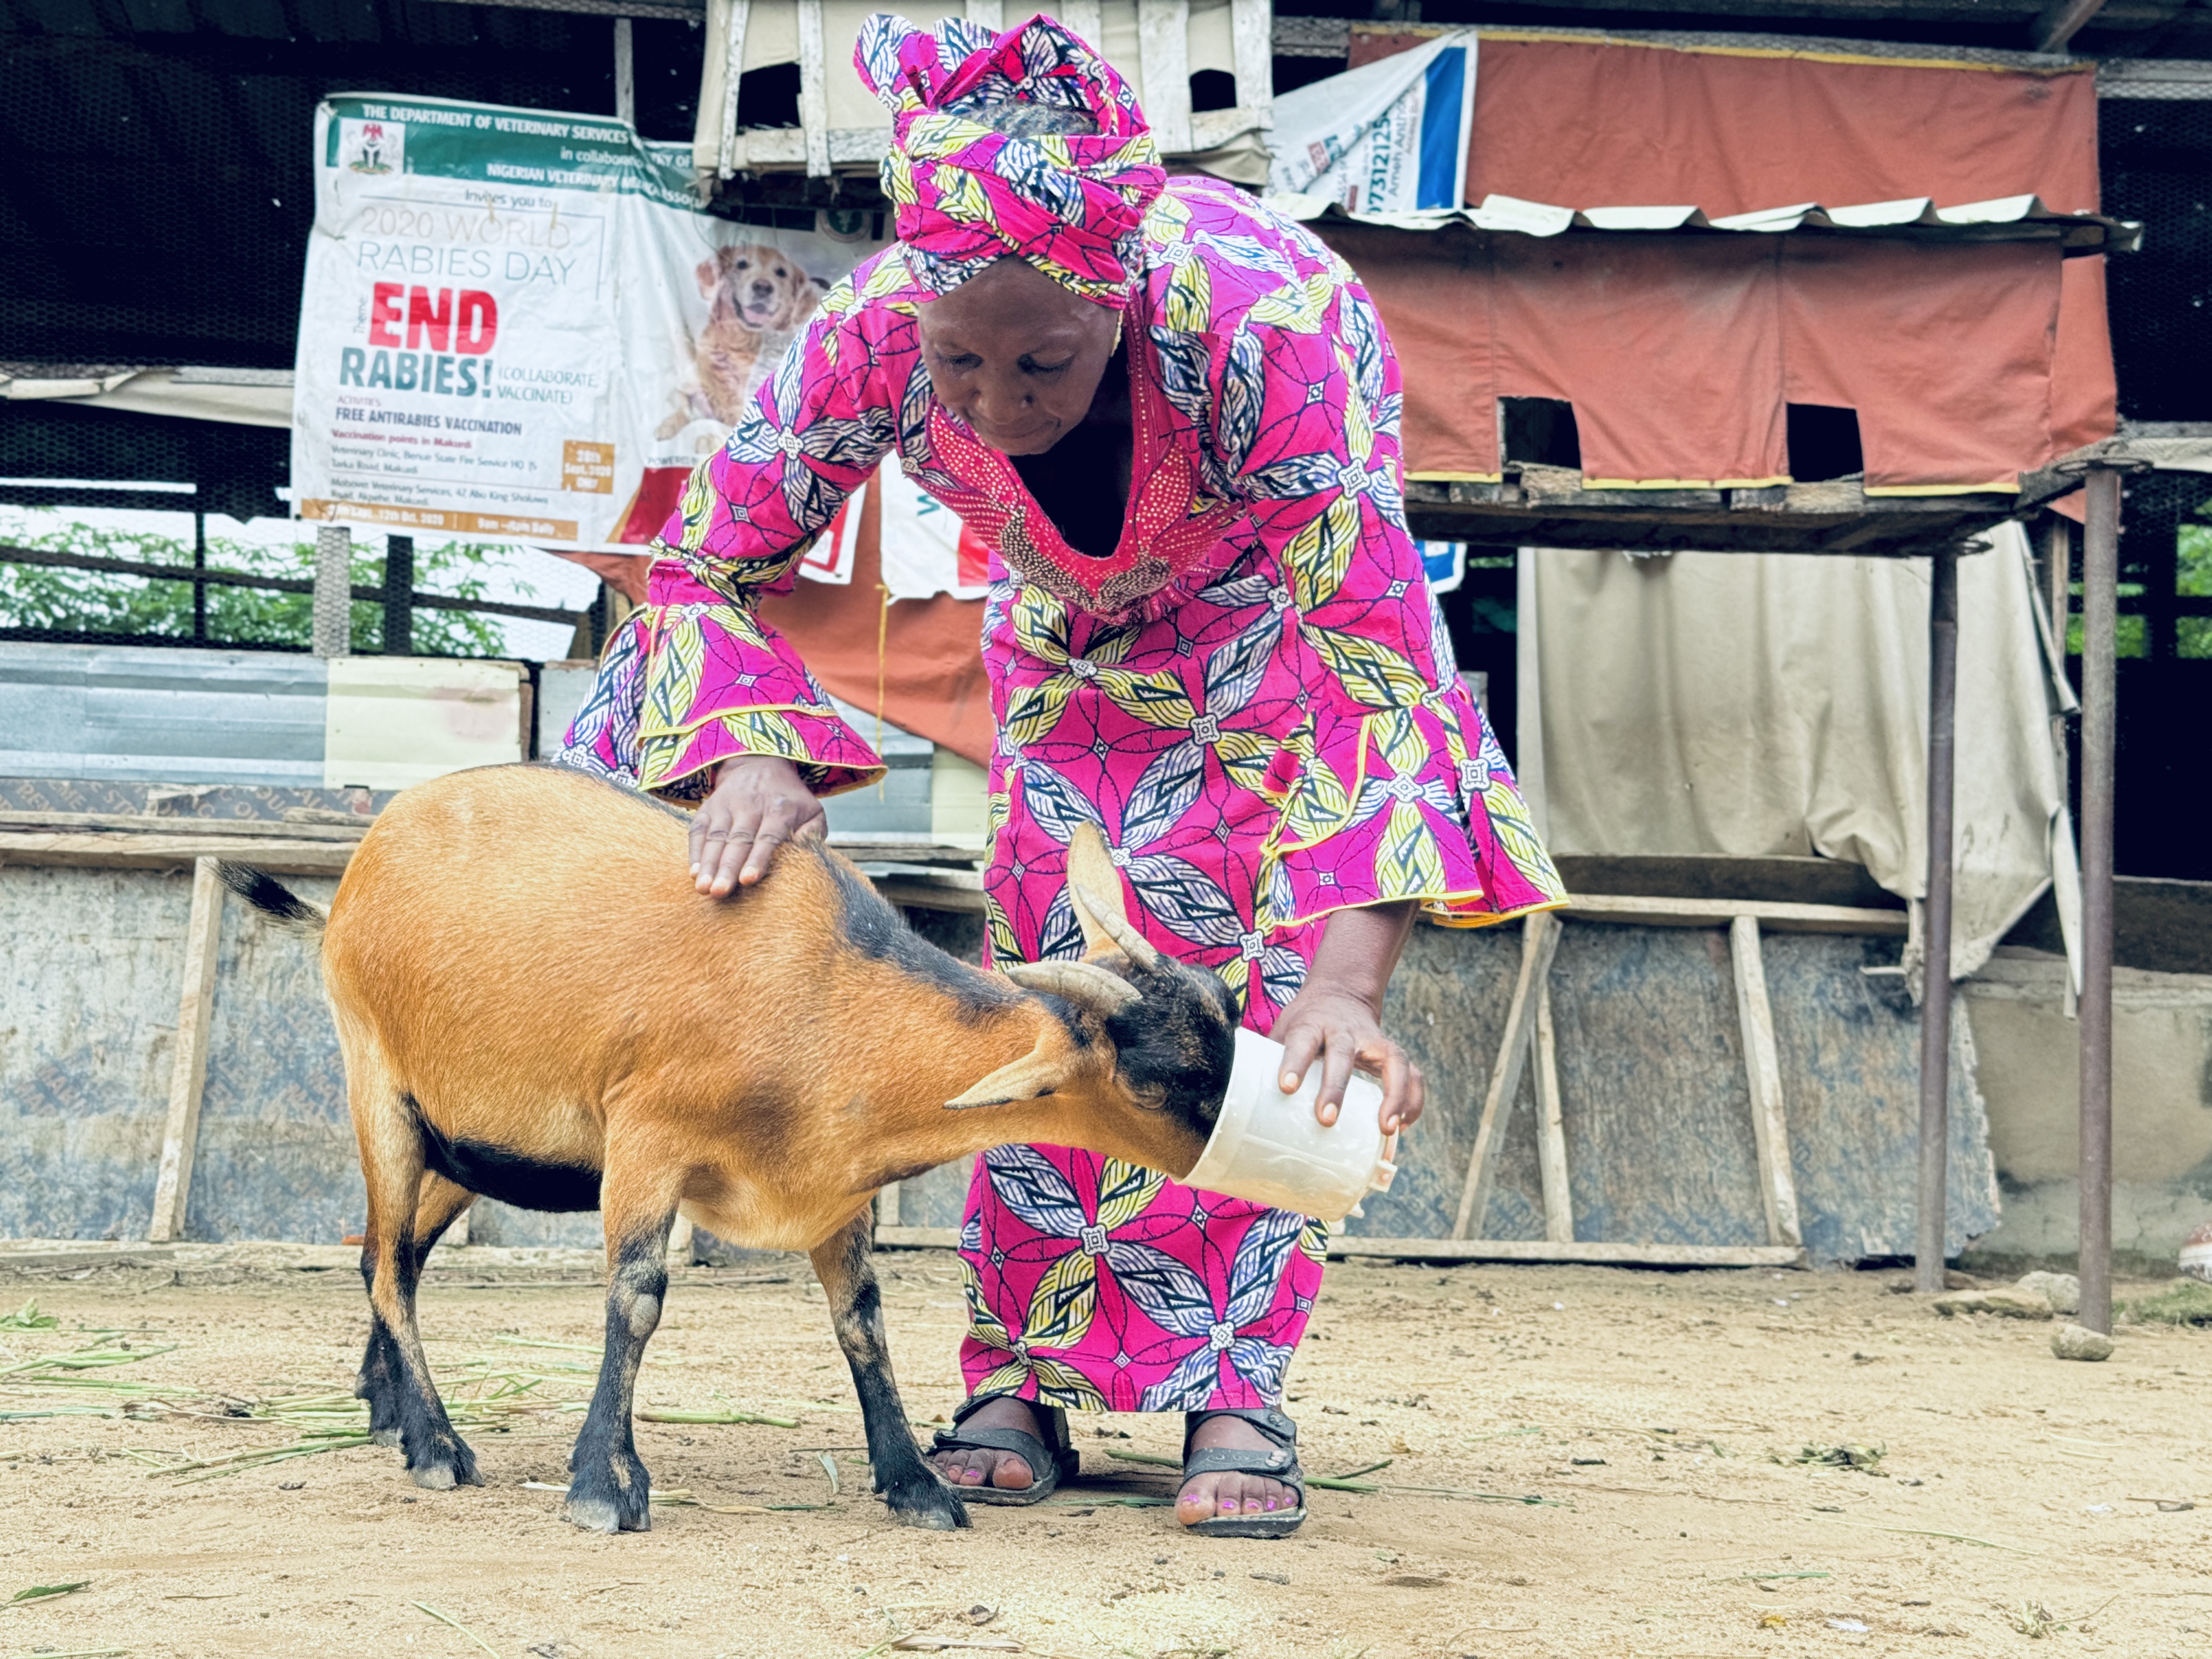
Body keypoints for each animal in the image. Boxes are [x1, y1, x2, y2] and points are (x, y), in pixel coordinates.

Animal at [216, 764, 1237, 1534]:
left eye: (1226, 1010)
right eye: (1172, 1078)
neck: (824, 994)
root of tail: (365, 860)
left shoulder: (834, 1193)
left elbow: (862, 1322)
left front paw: (915, 1484)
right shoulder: (644, 1138)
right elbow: (636, 1299)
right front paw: (604, 1486)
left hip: (470, 1142)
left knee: (388, 1254)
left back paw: (386, 1410)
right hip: (379, 1087)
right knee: (389, 1262)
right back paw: (435, 1446)